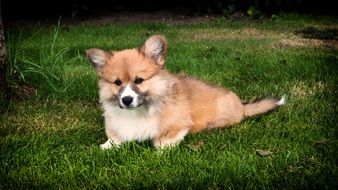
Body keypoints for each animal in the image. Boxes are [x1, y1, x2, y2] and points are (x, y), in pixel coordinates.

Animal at [85, 35, 286, 149]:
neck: (140, 110)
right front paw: (106, 146)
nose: (126, 100)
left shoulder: (178, 125)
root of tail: (242, 106)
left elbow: (163, 140)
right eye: (117, 82)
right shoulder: (115, 123)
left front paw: (160, 151)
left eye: (139, 80)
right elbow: (114, 137)